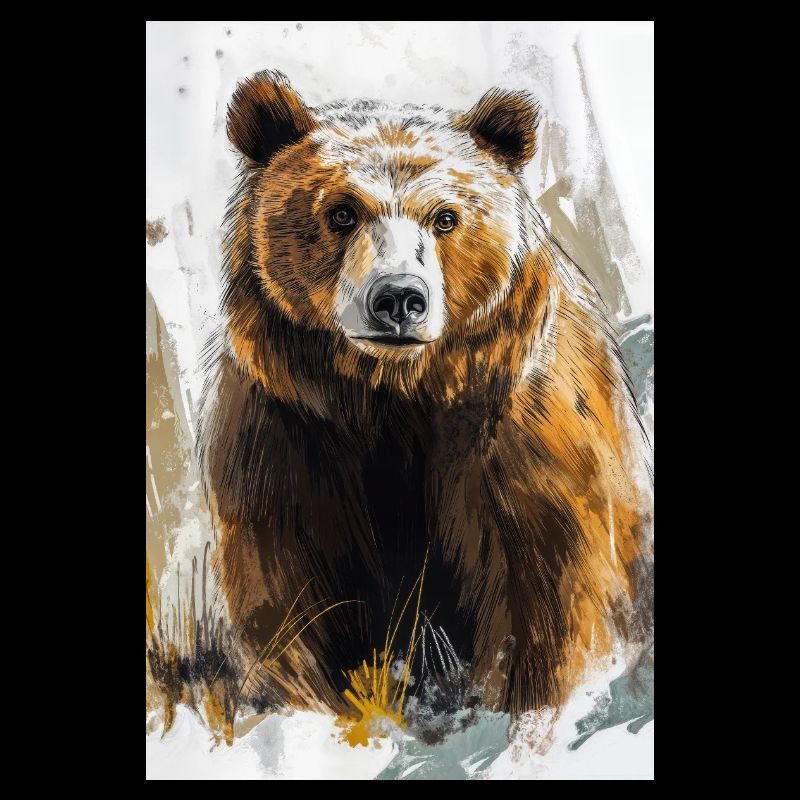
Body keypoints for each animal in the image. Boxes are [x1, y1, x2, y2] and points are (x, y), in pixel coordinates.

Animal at [197, 70, 653, 727]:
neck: (395, 394)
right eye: (342, 212)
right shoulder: (285, 436)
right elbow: (291, 603)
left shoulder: (531, 432)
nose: (398, 298)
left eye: (445, 217)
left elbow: (562, 601)